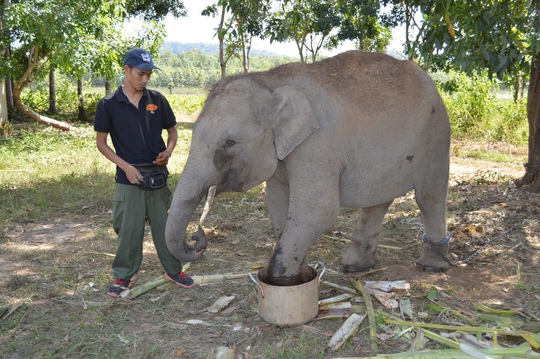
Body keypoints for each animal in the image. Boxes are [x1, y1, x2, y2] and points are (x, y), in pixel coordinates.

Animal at [165, 50, 452, 286]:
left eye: (229, 143)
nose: (198, 238)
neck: (269, 80)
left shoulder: (317, 145)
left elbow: (319, 209)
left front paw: (283, 279)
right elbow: (277, 201)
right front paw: (298, 267)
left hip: (436, 133)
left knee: (429, 196)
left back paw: (431, 266)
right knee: (378, 202)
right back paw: (355, 267)